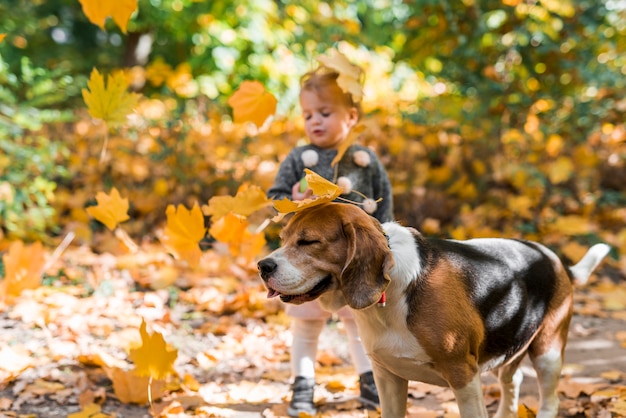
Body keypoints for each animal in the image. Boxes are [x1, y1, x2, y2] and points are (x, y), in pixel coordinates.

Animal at [258, 203, 608, 418]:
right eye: (283, 238)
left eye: (308, 241)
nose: (262, 266)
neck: (390, 295)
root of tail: (553, 256)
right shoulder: (387, 376)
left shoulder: (463, 374)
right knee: (514, 379)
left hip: (548, 352)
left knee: (550, 398)